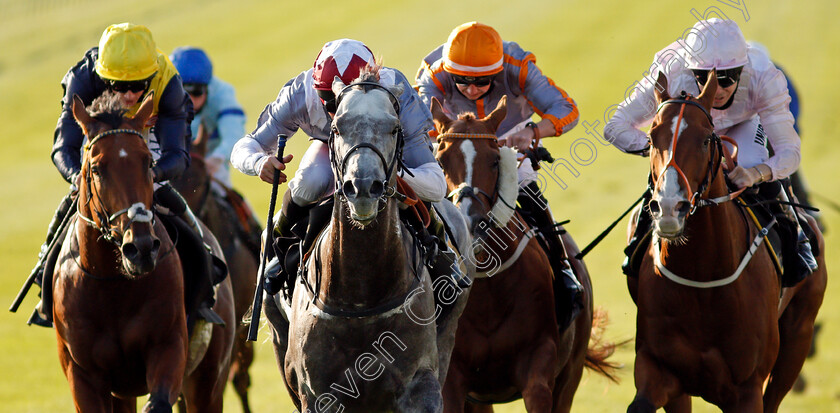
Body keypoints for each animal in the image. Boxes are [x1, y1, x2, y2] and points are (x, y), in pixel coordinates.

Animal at [51, 93, 236, 412]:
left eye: (148, 162)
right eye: (96, 169)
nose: (141, 248)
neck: (112, 286)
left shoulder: (168, 346)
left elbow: (158, 402)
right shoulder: (82, 374)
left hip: (208, 379)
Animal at [262, 66, 472, 410]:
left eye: (394, 128)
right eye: (336, 127)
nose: (362, 187)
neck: (360, 292)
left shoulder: (420, 382)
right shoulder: (315, 392)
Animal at [430, 95, 612, 410]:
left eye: (494, 160)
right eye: (440, 161)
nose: (470, 222)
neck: (488, 292)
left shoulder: (540, 363)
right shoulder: (452, 379)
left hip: (571, 372)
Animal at [632, 72, 828, 410]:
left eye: (705, 139)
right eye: (652, 138)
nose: (669, 207)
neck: (701, 278)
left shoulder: (747, 389)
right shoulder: (658, 369)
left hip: (798, 335)